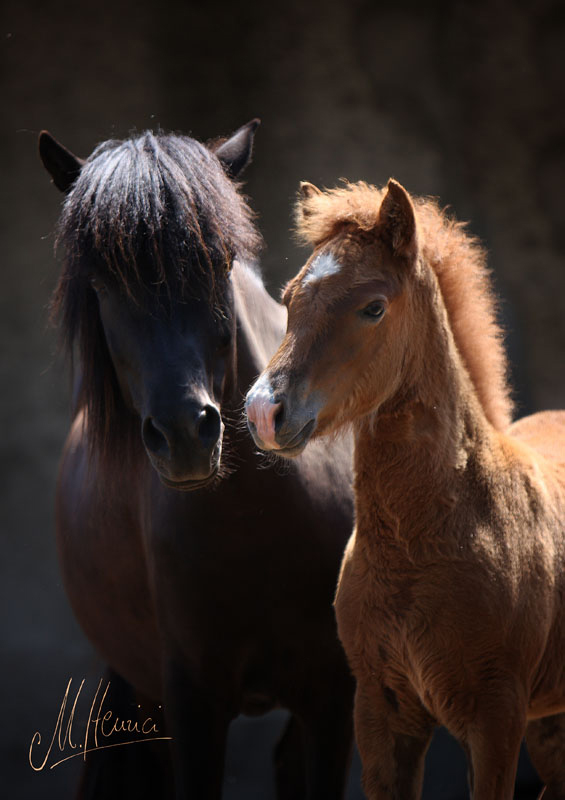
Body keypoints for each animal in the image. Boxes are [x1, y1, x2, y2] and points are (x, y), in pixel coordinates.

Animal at [39, 122, 354, 796]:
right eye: (101, 284)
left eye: (218, 262)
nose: (186, 432)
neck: (256, 527)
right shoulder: (190, 707)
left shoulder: (333, 700)